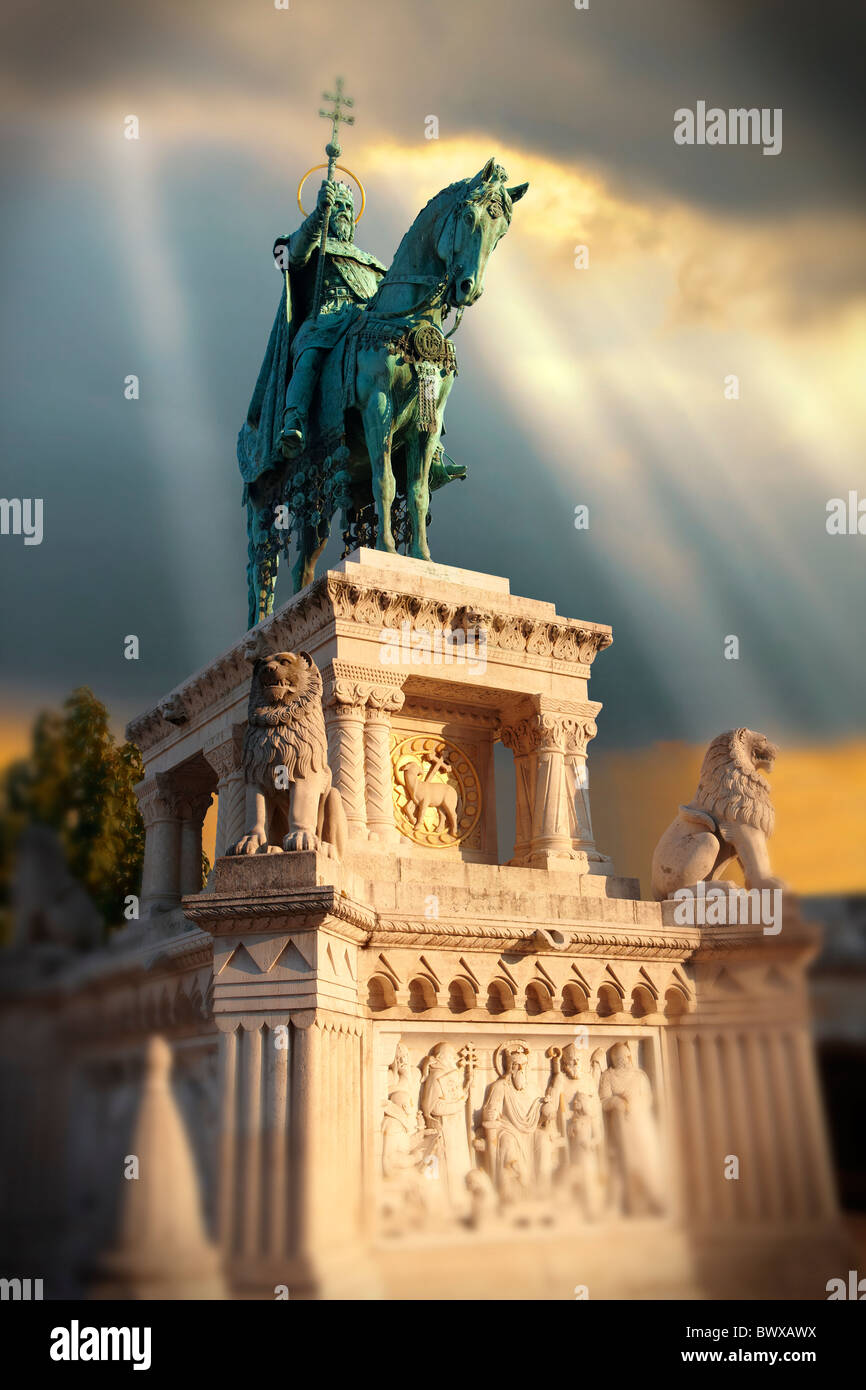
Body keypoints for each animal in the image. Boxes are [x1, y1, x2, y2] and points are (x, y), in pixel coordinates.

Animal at [229, 647, 347, 856]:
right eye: (261, 665)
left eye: (285, 662)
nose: (268, 669)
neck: (276, 720)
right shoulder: (255, 773)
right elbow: (256, 813)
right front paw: (248, 842)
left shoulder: (304, 769)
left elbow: (301, 807)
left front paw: (301, 838)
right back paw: (273, 848)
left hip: (333, 798)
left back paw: (326, 848)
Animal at [653, 728, 783, 900]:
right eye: (765, 739)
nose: (778, 749)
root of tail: (654, 890)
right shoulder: (743, 824)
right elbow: (757, 856)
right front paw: (768, 883)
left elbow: (749, 861)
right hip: (704, 843)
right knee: (676, 893)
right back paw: (725, 887)